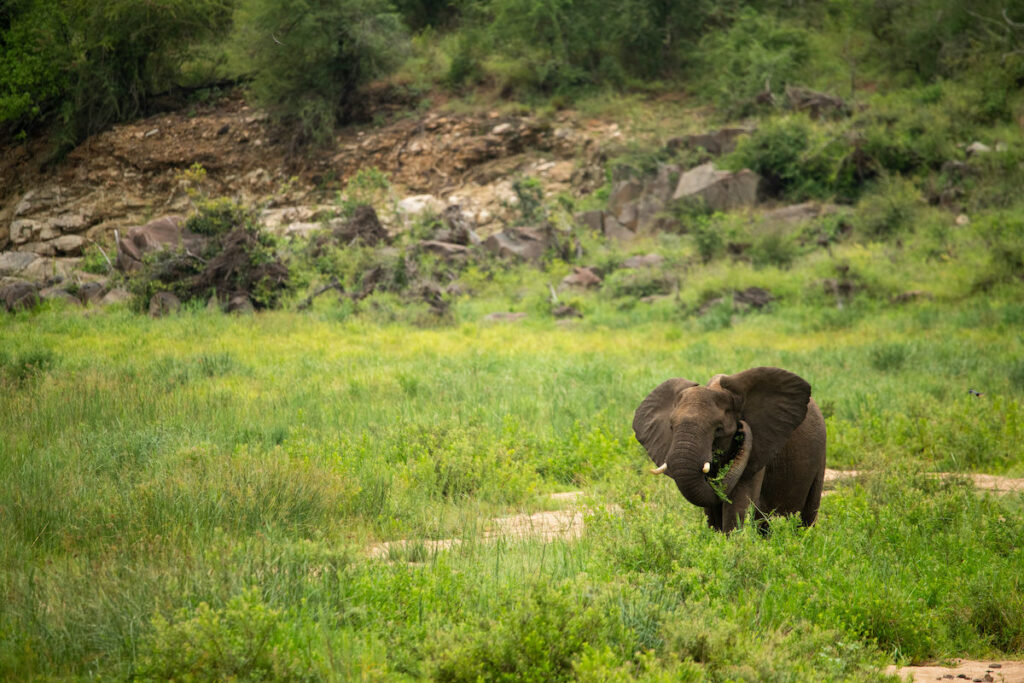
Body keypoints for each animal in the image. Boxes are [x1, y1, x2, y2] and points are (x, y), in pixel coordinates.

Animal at [633, 366, 826, 532]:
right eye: (672, 427)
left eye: (718, 430)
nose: (743, 426)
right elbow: (711, 509)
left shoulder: (760, 446)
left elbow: (739, 503)